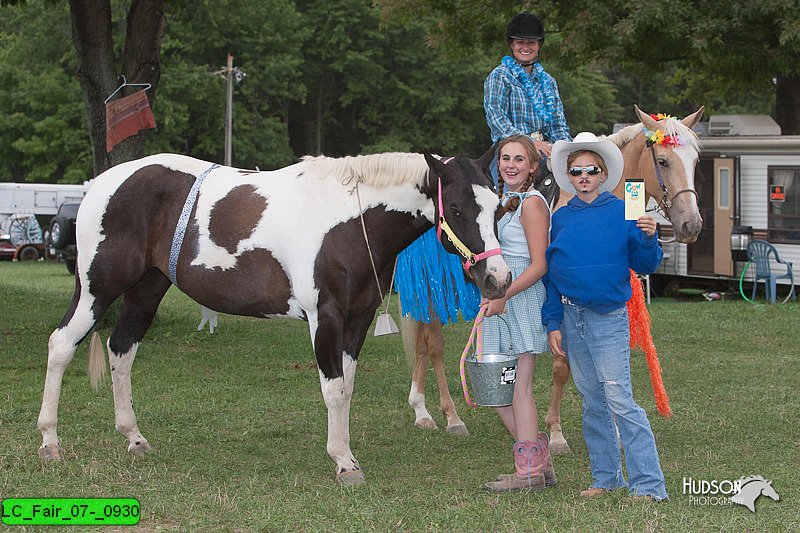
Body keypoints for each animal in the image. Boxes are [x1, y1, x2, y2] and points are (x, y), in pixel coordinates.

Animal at [34, 148, 510, 484]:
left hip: (146, 291)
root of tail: (101, 185)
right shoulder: (326, 319)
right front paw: (343, 462)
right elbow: (333, 391)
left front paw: (347, 452)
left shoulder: (357, 320)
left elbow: (347, 389)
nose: (497, 278)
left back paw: (133, 437)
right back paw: (50, 442)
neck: (349, 222)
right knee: (60, 345)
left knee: (121, 350)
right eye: (459, 210)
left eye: (498, 207)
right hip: (97, 289)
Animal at [404, 105, 704, 454]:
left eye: (695, 161)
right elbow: (562, 368)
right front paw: (557, 433)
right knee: (432, 345)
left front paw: (615, 431)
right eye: (663, 161)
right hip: (429, 290)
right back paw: (446, 416)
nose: (692, 224)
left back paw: (423, 410)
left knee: (423, 346)